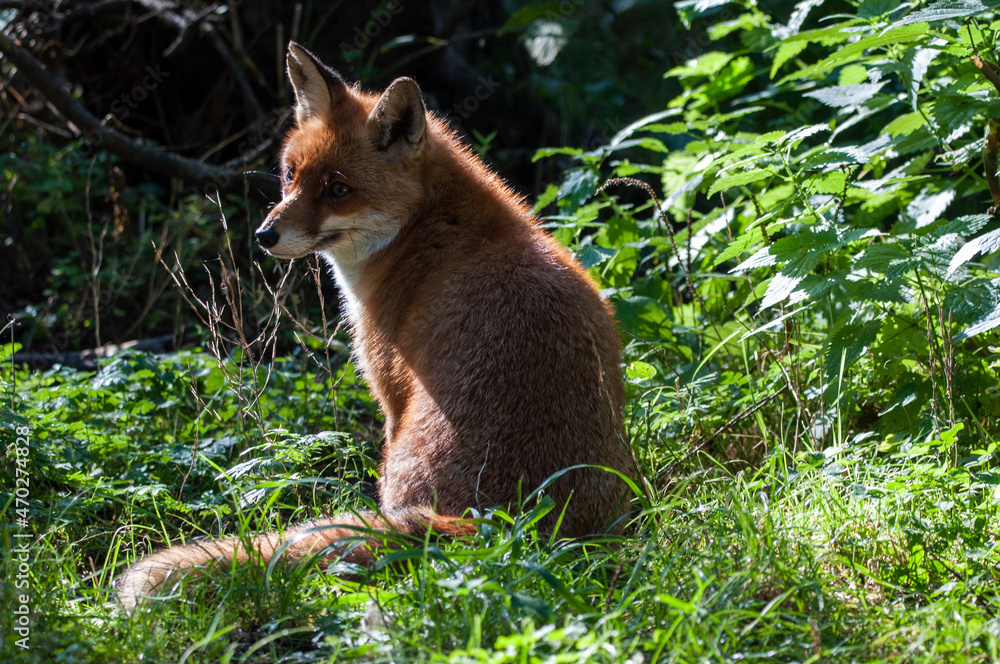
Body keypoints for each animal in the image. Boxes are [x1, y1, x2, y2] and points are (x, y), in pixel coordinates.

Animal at [118, 42, 634, 610]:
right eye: (290, 175)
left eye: (338, 189)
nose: (264, 235)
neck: (428, 232)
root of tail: (516, 526)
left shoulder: (389, 388)